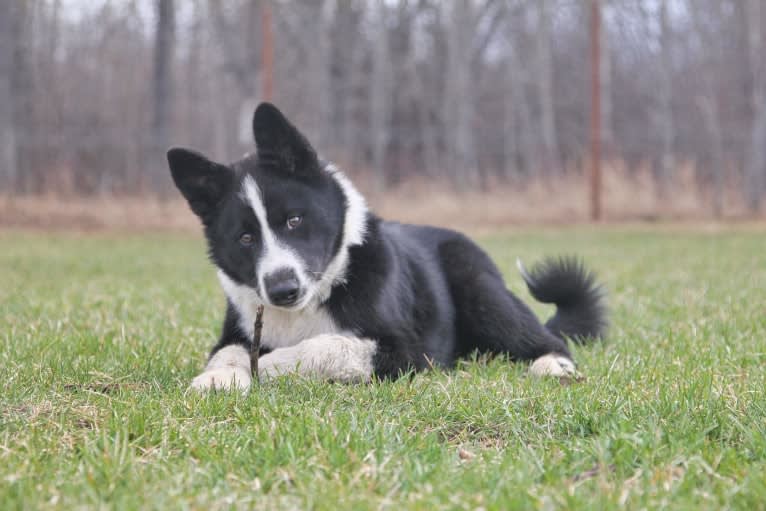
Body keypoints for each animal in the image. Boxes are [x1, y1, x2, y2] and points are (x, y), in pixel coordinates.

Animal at [166, 104, 608, 392]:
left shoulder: (405, 351)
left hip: (481, 291)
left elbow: (325, 347)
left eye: (293, 220)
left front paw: (268, 365)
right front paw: (219, 376)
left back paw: (553, 365)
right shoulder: (237, 331)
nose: (282, 290)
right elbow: (228, 352)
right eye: (245, 238)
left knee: (548, 340)